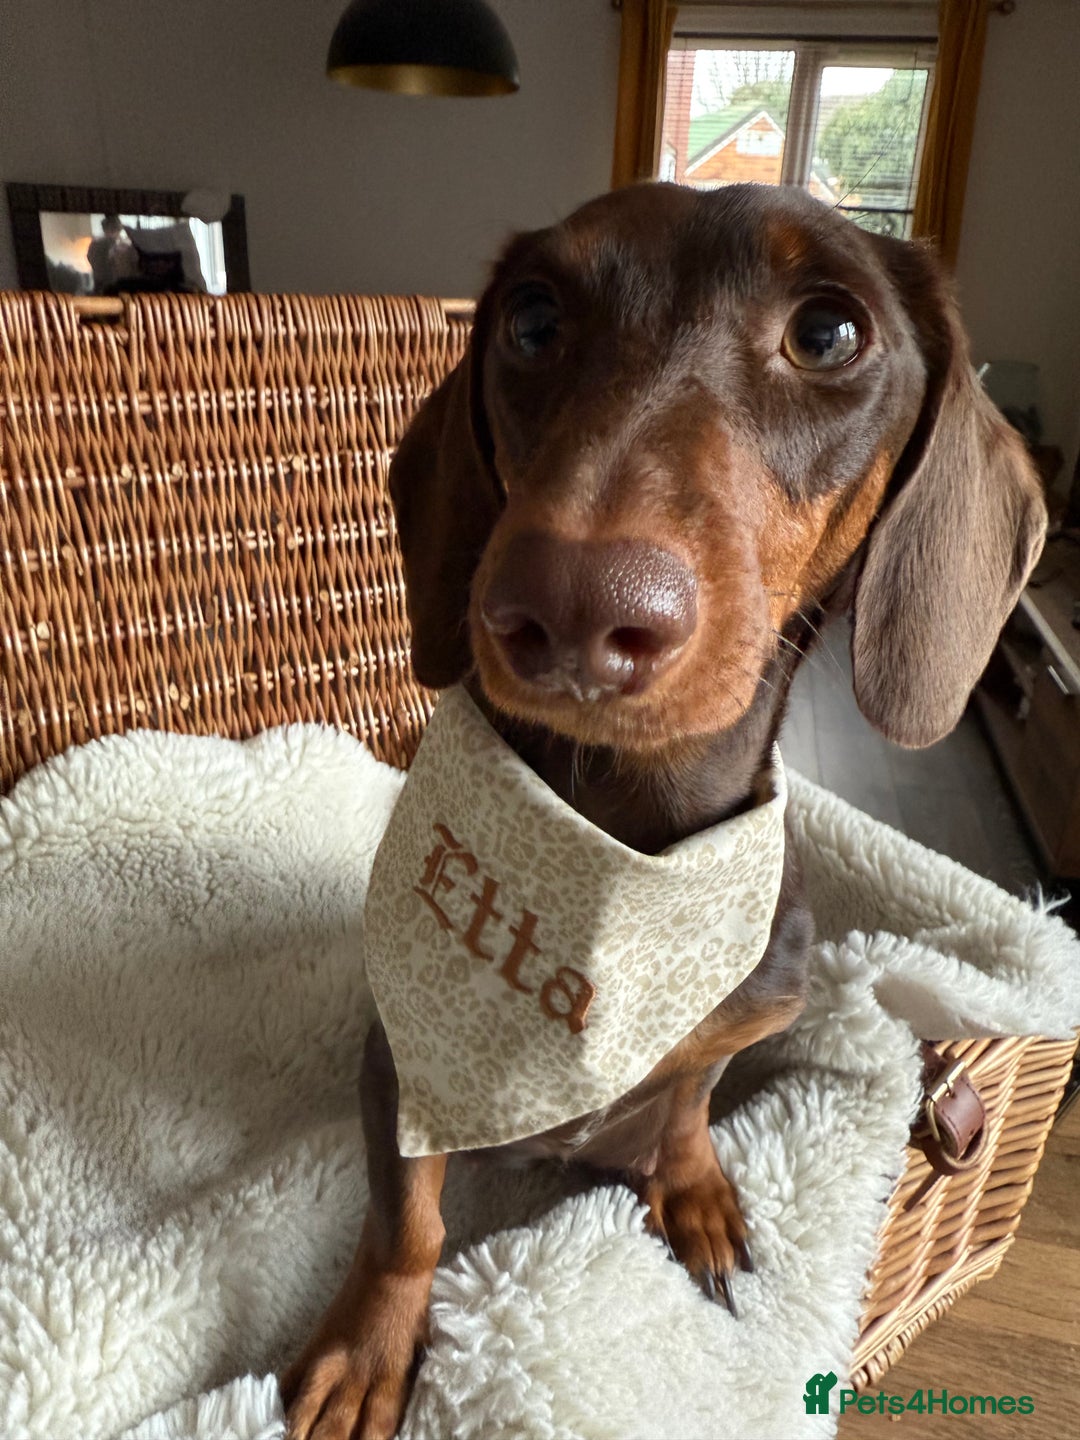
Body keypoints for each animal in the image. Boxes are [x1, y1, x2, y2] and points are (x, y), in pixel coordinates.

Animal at [282, 182, 1046, 1440]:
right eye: (533, 319)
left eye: (828, 332)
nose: (569, 607)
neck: (622, 846)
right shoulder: (400, 1063)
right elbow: (412, 1219)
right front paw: (367, 1349)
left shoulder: (742, 1012)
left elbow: (689, 1098)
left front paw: (694, 1192)